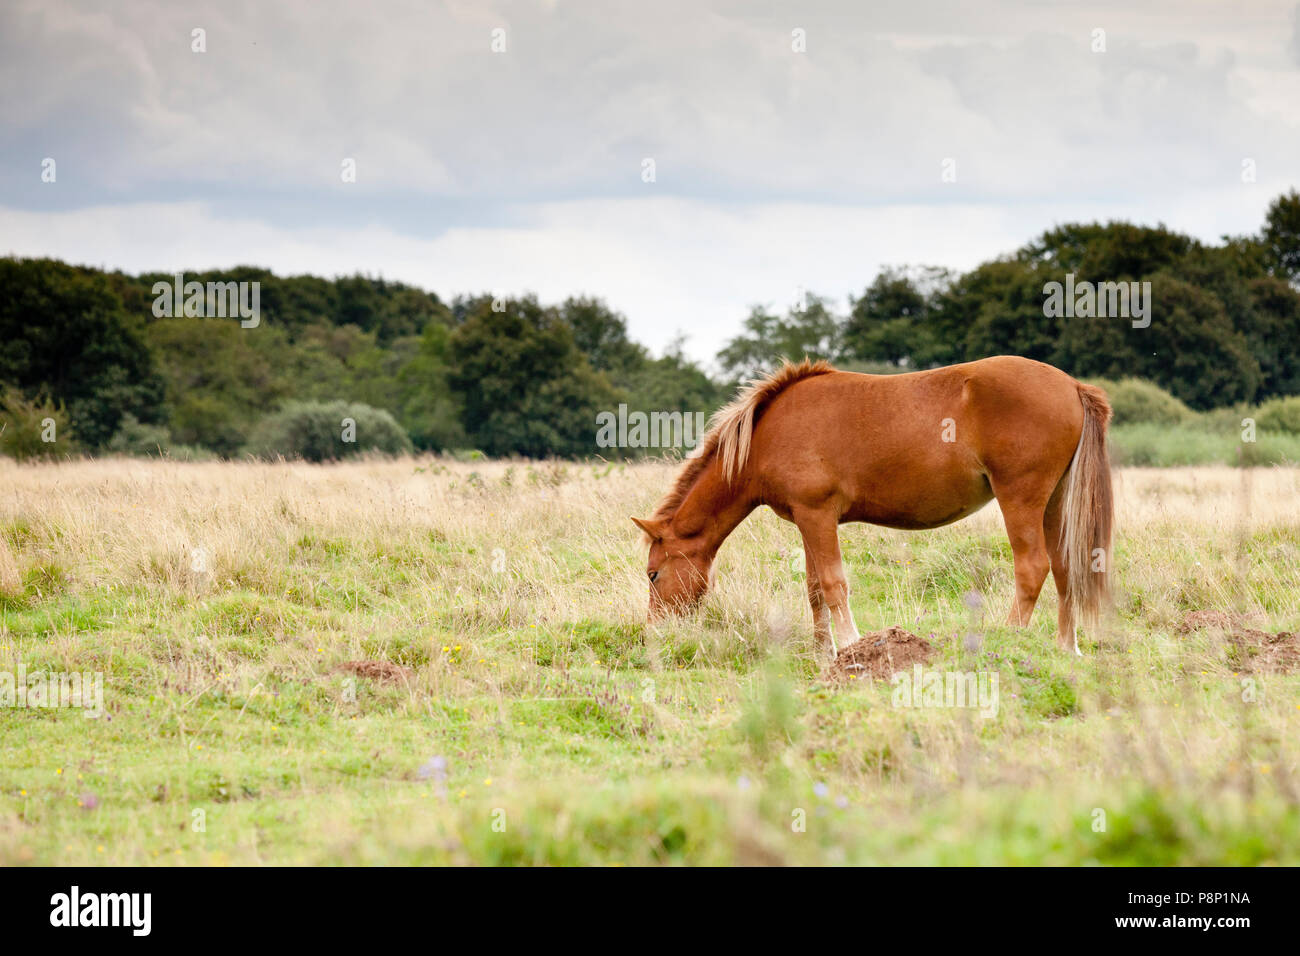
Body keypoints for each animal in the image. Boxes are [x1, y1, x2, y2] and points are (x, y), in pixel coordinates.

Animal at [634, 356, 1112, 658]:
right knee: (1065, 568)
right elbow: (814, 589)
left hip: (1021, 498)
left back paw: (1008, 639)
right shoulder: (807, 521)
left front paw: (848, 646)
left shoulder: (818, 515)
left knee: (1032, 567)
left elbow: (832, 584)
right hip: (1054, 503)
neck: (765, 434)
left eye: (653, 574)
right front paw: (822, 652)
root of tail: (1073, 386)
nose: (656, 633)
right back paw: (1066, 648)